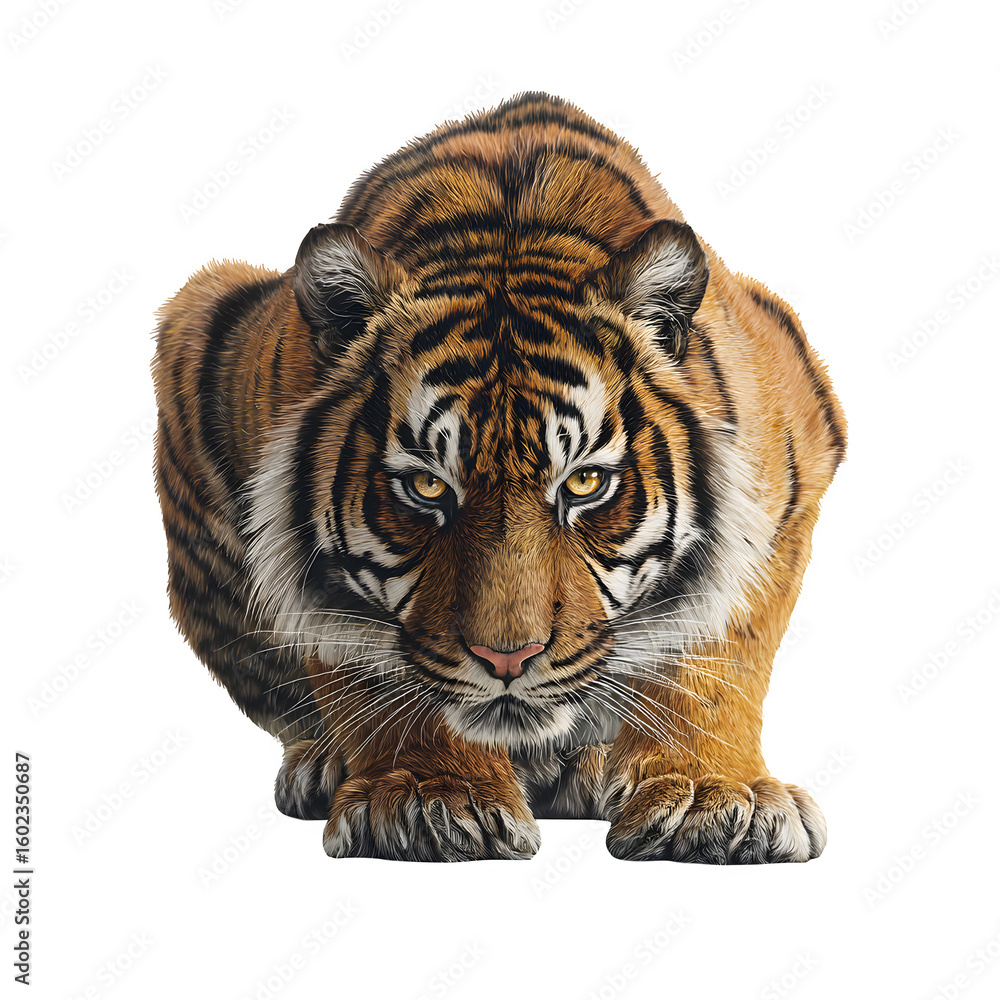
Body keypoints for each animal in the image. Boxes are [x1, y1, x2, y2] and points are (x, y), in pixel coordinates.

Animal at [152, 91, 846, 863]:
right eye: (427, 487)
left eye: (583, 485)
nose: (506, 660)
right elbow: (371, 664)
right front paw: (427, 799)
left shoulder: (789, 477)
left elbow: (716, 653)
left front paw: (715, 800)